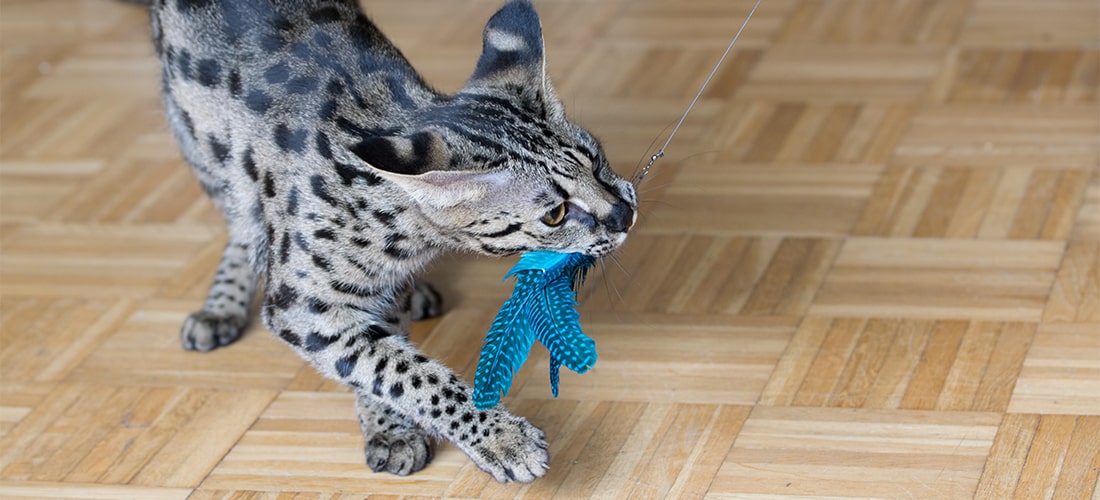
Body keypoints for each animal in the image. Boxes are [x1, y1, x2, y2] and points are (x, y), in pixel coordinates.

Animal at [151, 0, 642, 483]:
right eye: (555, 214)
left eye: (595, 160)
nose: (624, 214)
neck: (400, 233)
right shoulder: (302, 307)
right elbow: (400, 371)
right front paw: (499, 436)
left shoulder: (382, 288)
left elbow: (382, 357)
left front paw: (389, 423)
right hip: (202, 143)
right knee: (240, 215)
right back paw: (224, 301)